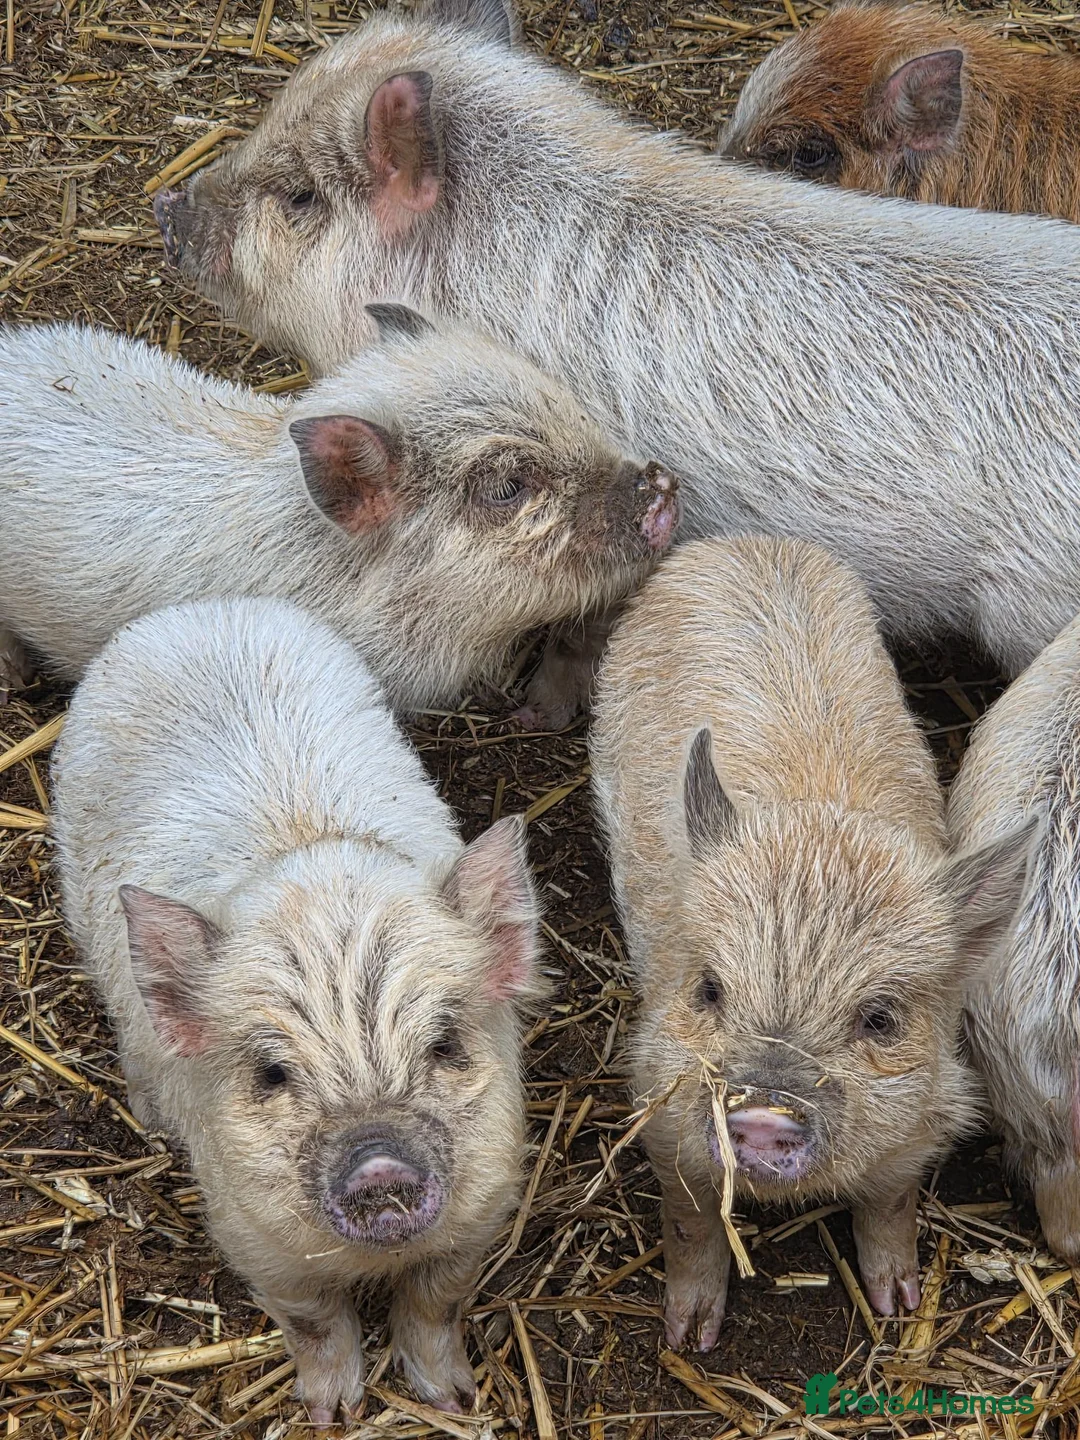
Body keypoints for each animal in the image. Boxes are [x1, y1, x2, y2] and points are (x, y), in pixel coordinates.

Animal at [51, 594, 544, 1421]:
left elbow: (437, 1305)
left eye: (445, 1043)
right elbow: (314, 1324)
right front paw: (331, 1415)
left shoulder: (482, 1211)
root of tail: (199, 611)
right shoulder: (253, 1238)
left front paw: (452, 1401)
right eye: (272, 1074)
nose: (379, 1162)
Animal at [588, 537, 1034, 1346]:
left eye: (880, 1018)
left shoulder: (923, 1121)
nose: (764, 1111)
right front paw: (689, 1338)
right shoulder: (660, 1103)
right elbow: (690, 1224)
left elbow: (890, 1205)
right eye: (709, 989)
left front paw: (899, 1306)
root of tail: (735, 544)